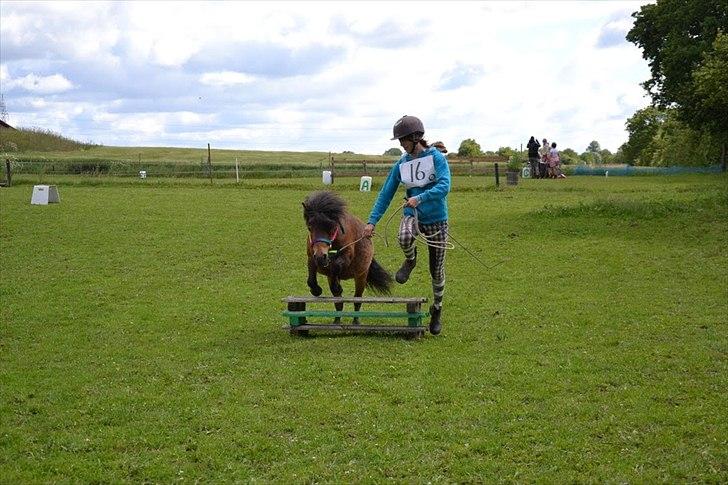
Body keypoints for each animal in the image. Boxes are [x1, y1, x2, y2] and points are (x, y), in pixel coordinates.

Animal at [302, 191, 392, 324]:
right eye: (310, 227)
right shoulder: (311, 258)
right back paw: (336, 321)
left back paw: (355, 321)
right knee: (338, 303)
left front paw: (335, 287)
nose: (321, 256)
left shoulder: (346, 257)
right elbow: (311, 279)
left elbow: (336, 266)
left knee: (357, 300)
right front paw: (316, 290)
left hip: (361, 276)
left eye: (333, 228)